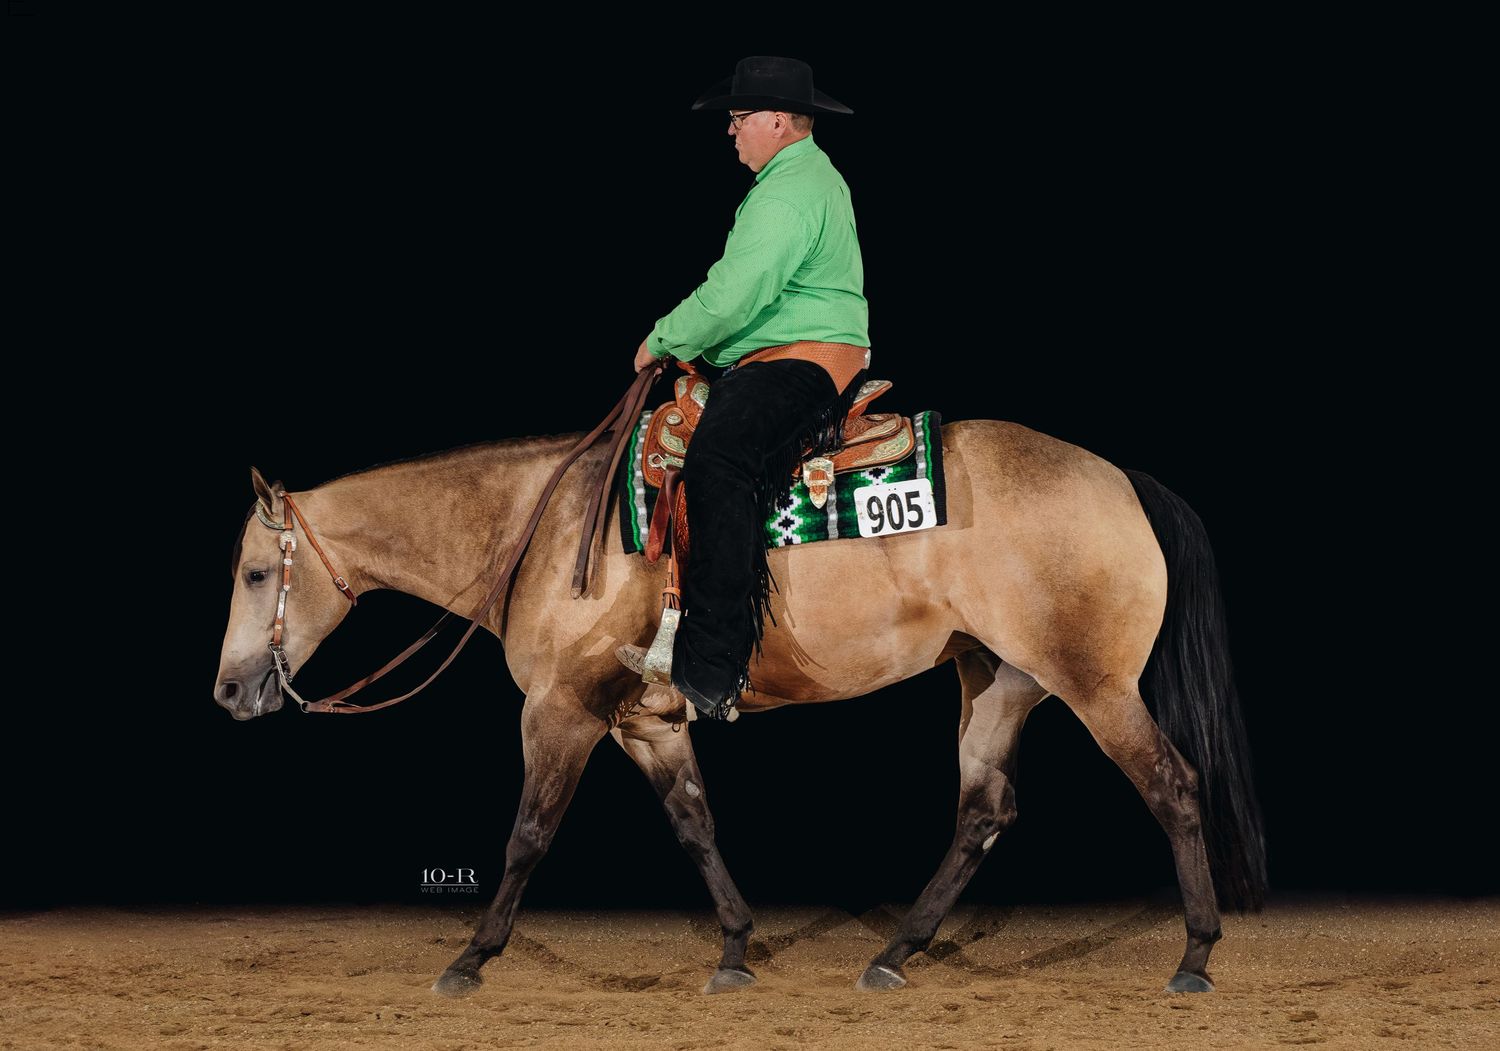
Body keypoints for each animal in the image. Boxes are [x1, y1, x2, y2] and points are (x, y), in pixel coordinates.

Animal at [214, 416, 1266, 997]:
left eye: (258, 571)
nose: (228, 687)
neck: (543, 530)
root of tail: (1123, 479)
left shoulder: (560, 711)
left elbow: (526, 834)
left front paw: (472, 958)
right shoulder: (646, 721)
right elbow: (694, 823)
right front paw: (733, 946)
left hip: (1096, 685)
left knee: (1171, 784)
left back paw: (1196, 956)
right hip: (997, 681)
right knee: (983, 811)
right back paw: (896, 949)